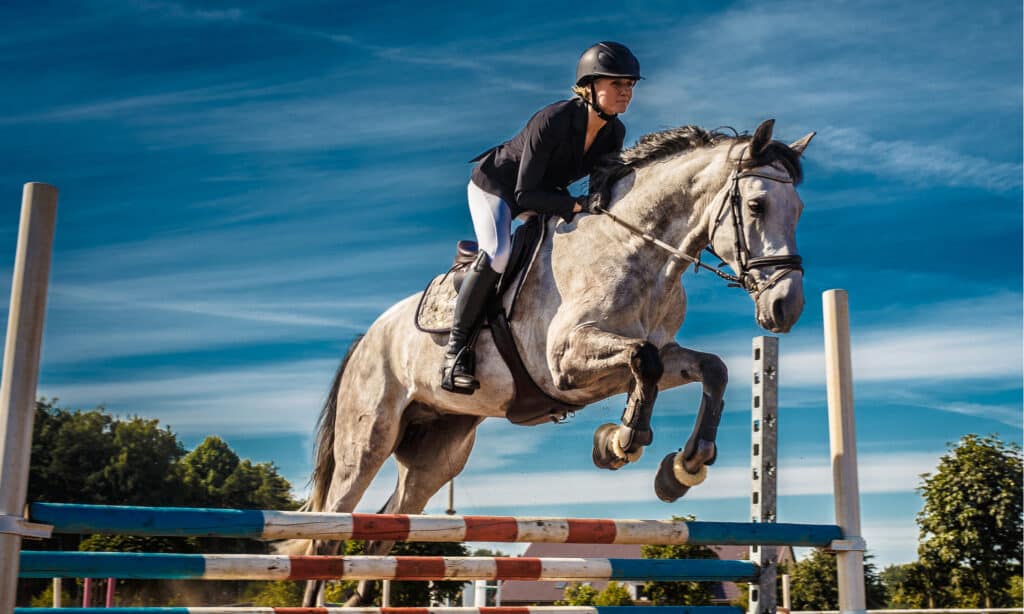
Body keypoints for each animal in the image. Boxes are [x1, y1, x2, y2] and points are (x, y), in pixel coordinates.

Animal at [299, 118, 815, 605]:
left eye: (800, 211)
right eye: (756, 206)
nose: (786, 308)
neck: (636, 250)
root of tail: (368, 337)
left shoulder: (654, 355)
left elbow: (709, 368)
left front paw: (683, 465)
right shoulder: (565, 360)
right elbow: (642, 361)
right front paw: (622, 441)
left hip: (436, 454)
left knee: (386, 523)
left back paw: (358, 597)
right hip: (368, 440)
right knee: (330, 529)